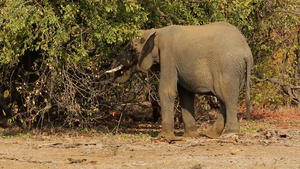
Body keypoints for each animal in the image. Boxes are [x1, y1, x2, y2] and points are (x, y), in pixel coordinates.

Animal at [106, 21, 252, 139]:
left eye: (132, 49)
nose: (121, 70)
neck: (156, 32)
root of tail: (247, 52)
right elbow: (185, 95)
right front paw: (191, 136)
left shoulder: (168, 55)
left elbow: (167, 91)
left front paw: (164, 138)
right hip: (238, 71)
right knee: (224, 99)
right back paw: (212, 135)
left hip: (228, 68)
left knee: (228, 97)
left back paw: (228, 134)